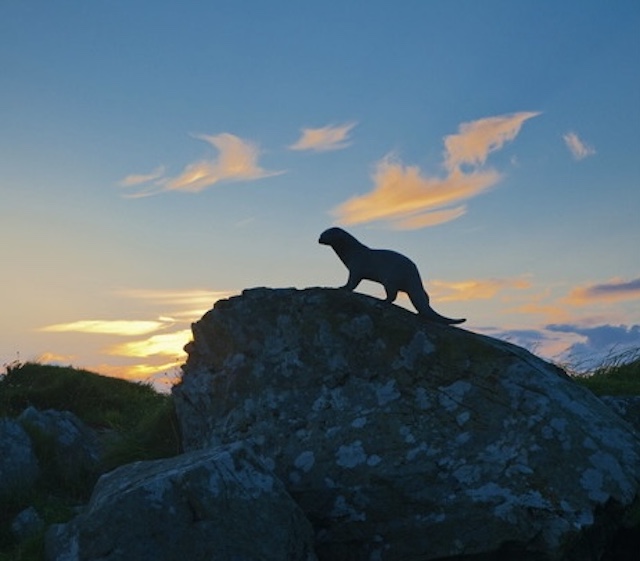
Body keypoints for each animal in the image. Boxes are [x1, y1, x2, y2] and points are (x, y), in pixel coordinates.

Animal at [319, 227, 465, 325]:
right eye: (321, 233)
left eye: (325, 233)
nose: (318, 238)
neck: (353, 252)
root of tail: (413, 275)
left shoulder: (356, 267)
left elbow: (352, 283)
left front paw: (342, 287)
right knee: (425, 296)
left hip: (391, 279)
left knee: (392, 295)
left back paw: (383, 300)